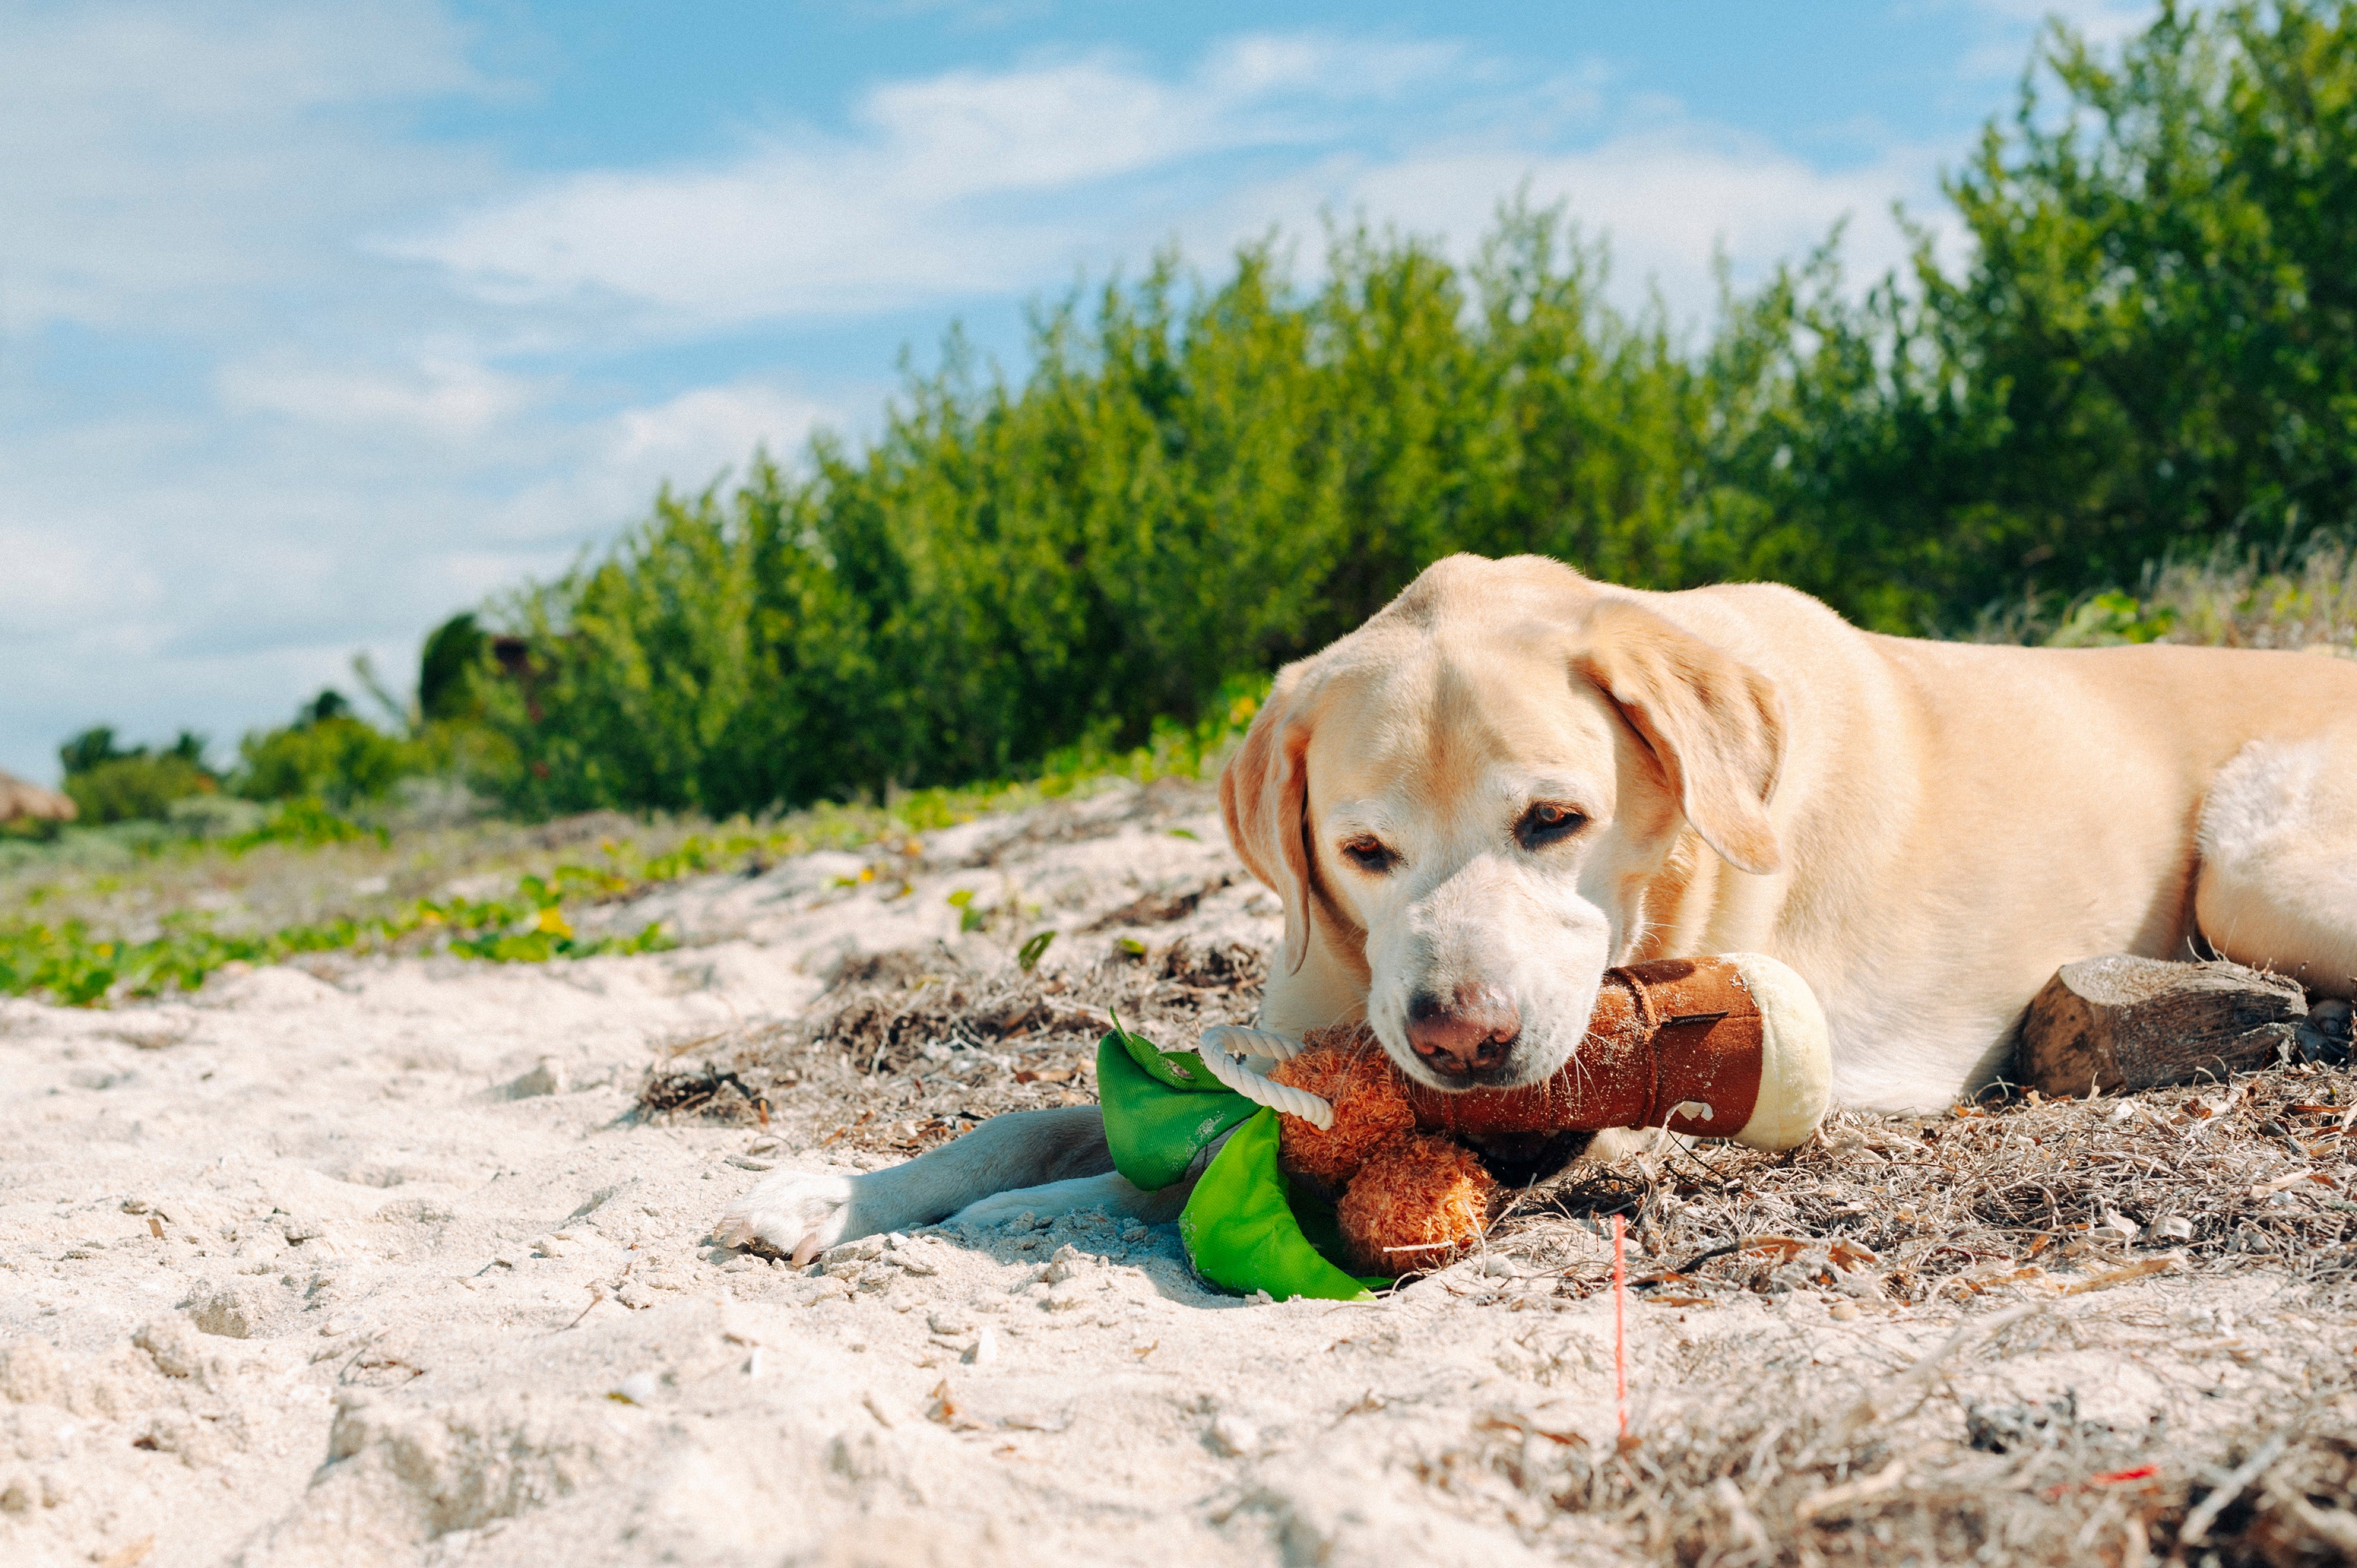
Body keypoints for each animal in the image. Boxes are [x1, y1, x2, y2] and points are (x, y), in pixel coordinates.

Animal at [717, 549, 2357, 1264]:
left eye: (1555, 820)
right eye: (1362, 851)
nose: (1460, 1038)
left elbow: (1154, 1174)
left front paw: (1035, 1206)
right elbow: (1040, 1118)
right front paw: (843, 1190)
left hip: (2256, 859)